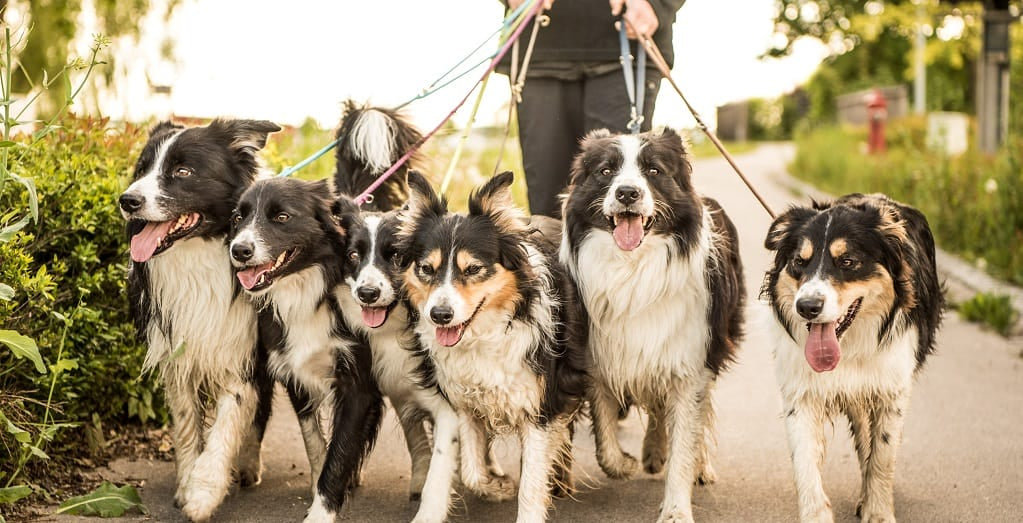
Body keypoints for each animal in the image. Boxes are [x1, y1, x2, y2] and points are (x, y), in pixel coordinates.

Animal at [119, 119, 280, 523]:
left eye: (183, 172)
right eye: (142, 169)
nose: (127, 201)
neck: (200, 254)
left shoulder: (242, 353)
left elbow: (228, 422)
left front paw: (204, 493)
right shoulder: (178, 356)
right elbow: (187, 425)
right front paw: (187, 482)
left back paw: (249, 465)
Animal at [228, 178, 384, 521]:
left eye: (282, 217)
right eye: (238, 218)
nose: (239, 250)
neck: (303, 289)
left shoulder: (358, 386)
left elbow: (340, 451)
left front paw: (322, 511)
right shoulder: (294, 372)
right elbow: (313, 439)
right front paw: (317, 482)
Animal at [398, 172, 593, 523]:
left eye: (473, 269)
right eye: (426, 269)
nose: (440, 315)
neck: (485, 333)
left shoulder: (541, 404)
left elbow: (531, 482)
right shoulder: (463, 402)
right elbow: (472, 471)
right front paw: (496, 487)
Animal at [560, 127, 744, 523]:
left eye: (654, 171)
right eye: (605, 171)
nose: (628, 193)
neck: (633, 269)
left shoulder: (690, 364)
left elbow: (685, 440)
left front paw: (676, 509)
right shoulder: (599, 359)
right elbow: (605, 438)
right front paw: (624, 464)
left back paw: (698, 465)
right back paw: (653, 452)